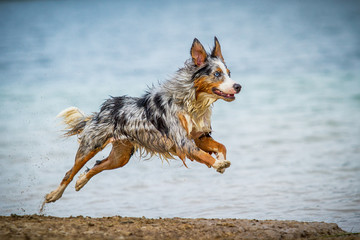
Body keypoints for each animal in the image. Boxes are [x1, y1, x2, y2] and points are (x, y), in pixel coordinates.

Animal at [44, 37, 242, 204]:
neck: (192, 103)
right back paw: (54, 194)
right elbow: (203, 155)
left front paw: (221, 159)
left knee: (98, 165)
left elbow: (222, 146)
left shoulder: (200, 137)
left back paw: (81, 181)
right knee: (69, 172)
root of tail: (102, 109)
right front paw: (218, 163)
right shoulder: (183, 141)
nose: (238, 86)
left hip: (120, 156)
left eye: (229, 73)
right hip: (92, 145)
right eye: (217, 74)